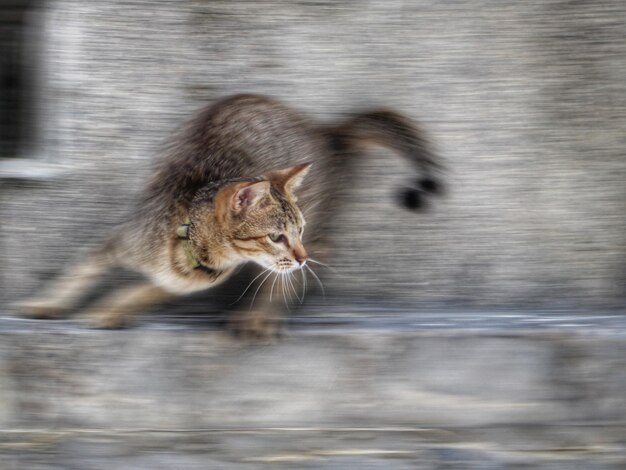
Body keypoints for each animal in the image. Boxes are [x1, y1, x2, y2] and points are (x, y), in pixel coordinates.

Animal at [18, 93, 438, 340]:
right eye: (276, 236)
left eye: (295, 231)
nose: (299, 255)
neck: (186, 241)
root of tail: (323, 131)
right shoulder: (119, 241)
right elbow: (82, 268)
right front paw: (49, 302)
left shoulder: (185, 281)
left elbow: (142, 290)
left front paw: (110, 308)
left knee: (319, 253)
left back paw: (261, 315)